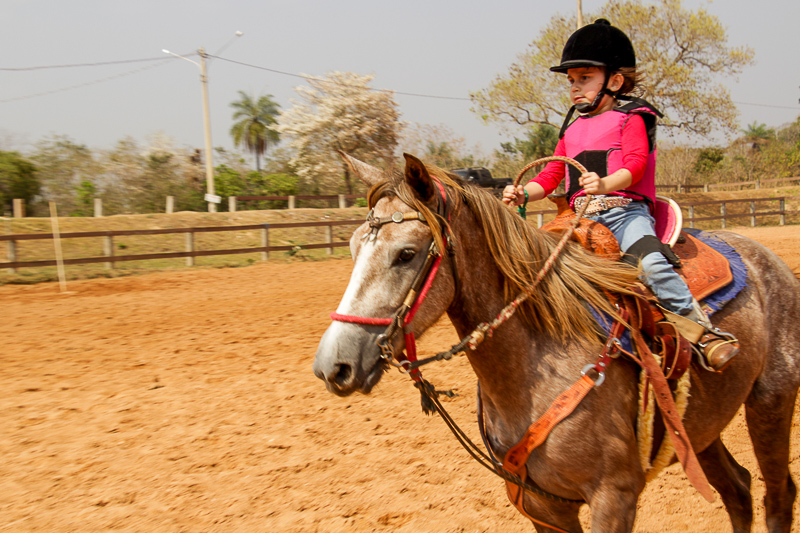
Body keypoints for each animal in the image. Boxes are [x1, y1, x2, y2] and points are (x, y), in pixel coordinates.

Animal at [312, 152, 800, 533]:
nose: (333, 365)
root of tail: (767, 259)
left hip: (771, 403)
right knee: (738, 490)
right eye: (353, 247)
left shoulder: (614, 497)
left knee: (778, 496)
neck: (535, 362)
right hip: (698, 426)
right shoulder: (542, 506)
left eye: (407, 254)